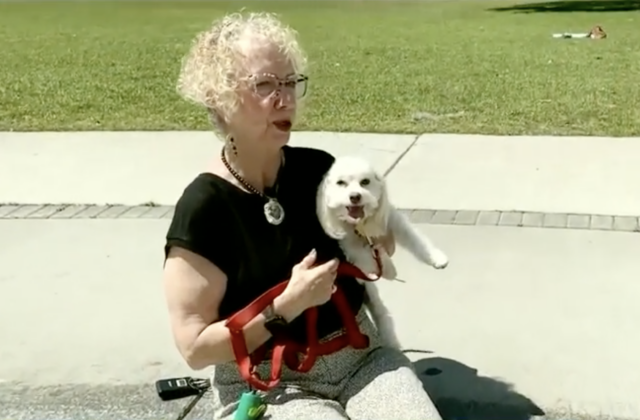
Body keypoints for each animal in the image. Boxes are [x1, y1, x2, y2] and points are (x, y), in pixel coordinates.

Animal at [316, 154, 450, 348]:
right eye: (341, 183)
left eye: (365, 181)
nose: (355, 196)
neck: (362, 225)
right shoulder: (347, 241)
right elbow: (361, 257)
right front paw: (382, 270)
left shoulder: (391, 221)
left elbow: (414, 237)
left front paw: (435, 257)